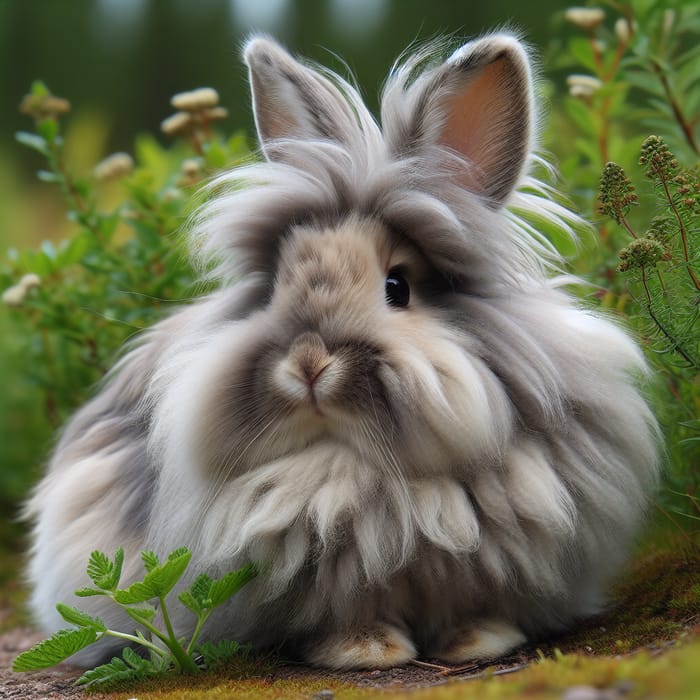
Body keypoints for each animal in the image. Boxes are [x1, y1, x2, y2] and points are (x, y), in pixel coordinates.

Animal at [27, 31, 660, 668]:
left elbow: (477, 605)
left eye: (398, 286)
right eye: (275, 287)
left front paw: (479, 643)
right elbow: (349, 613)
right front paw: (369, 652)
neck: (354, 467)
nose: (308, 363)